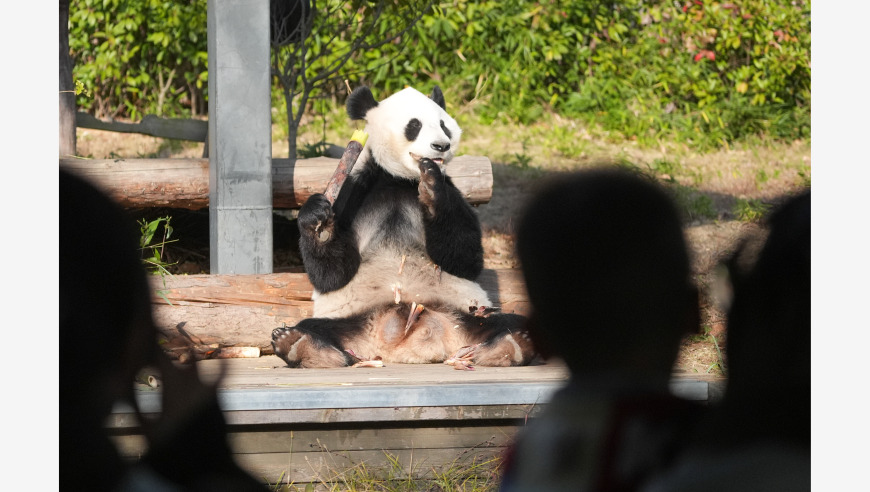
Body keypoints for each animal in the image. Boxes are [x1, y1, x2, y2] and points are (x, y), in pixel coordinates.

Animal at [270, 85, 540, 368]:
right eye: (414, 125)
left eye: (443, 125)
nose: (441, 146)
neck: (400, 178)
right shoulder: (355, 189)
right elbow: (332, 275)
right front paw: (318, 221)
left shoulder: (454, 193)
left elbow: (466, 259)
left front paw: (431, 188)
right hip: (353, 318)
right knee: (316, 326)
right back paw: (299, 345)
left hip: (467, 314)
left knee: (507, 322)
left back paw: (512, 345)